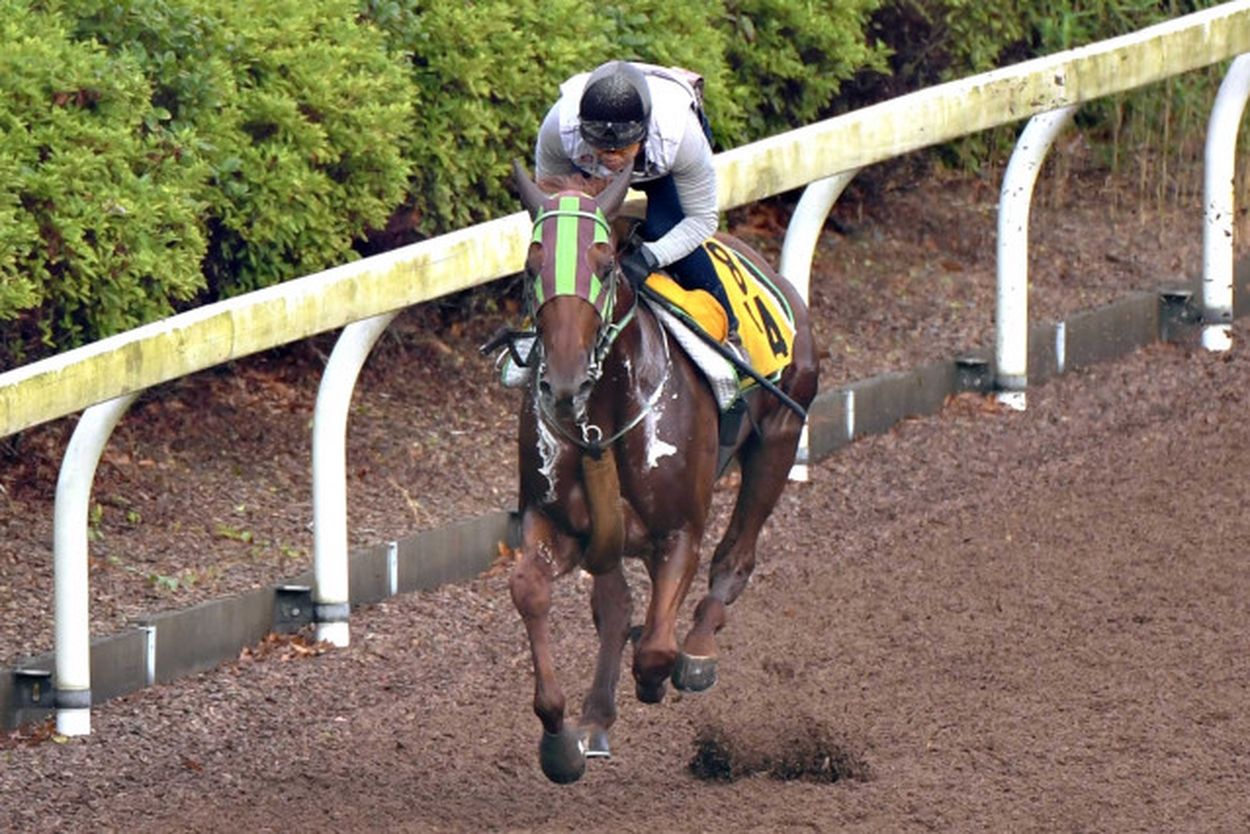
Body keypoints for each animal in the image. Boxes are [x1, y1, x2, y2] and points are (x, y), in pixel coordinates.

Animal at [507, 161, 820, 785]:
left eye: (605, 266)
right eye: (531, 268)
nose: (563, 383)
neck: (601, 419)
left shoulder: (679, 531)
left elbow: (657, 646)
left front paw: (657, 674)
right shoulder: (557, 524)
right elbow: (533, 589)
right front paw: (560, 741)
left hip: (779, 436)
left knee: (736, 556)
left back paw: (697, 649)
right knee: (616, 605)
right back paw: (596, 717)